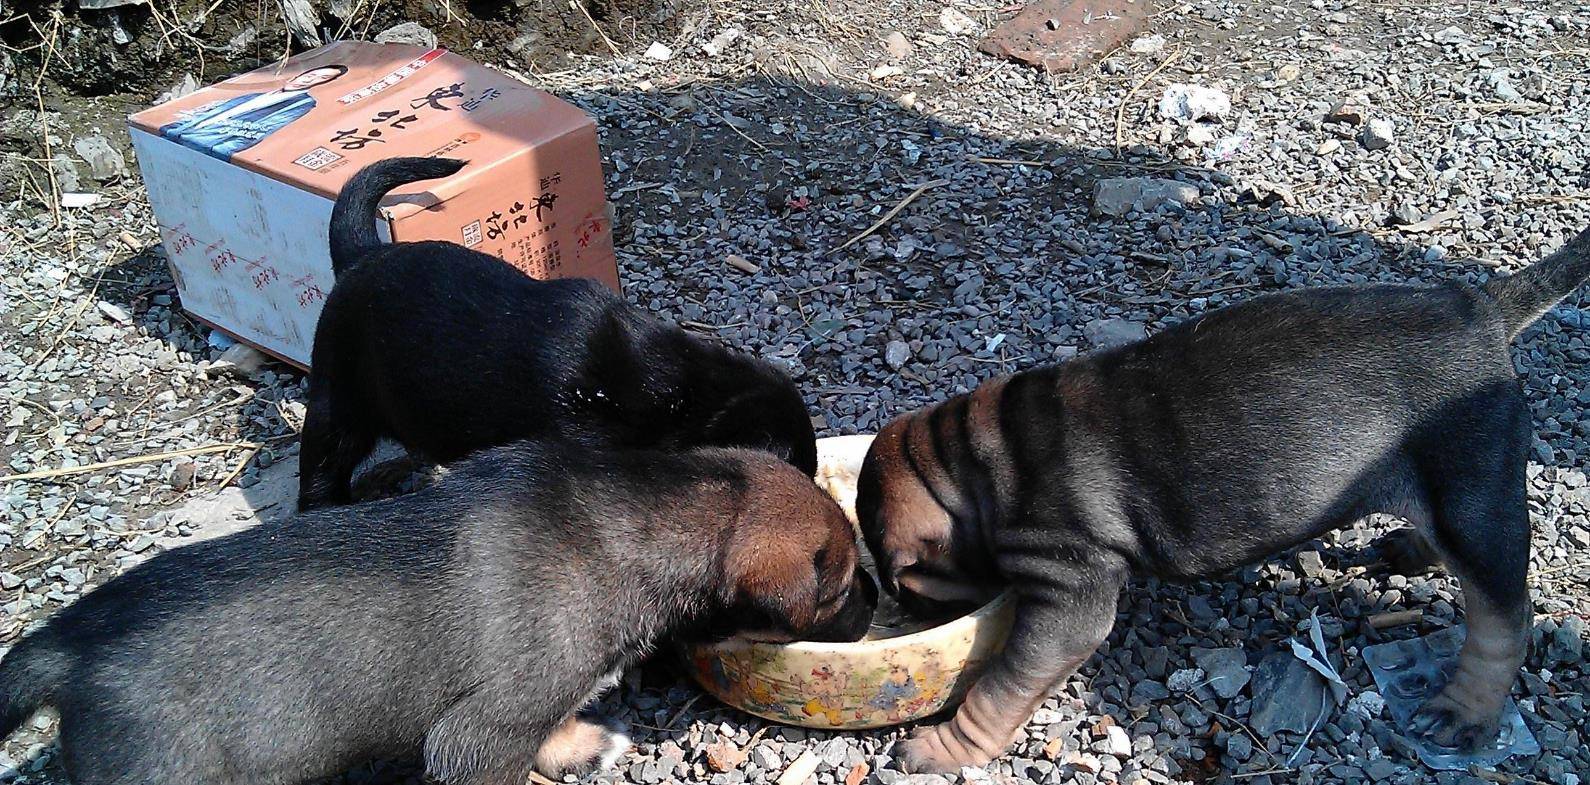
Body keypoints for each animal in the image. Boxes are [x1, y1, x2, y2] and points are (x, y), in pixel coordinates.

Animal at [0, 441, 877, 785]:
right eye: (836, 590)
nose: (874, 598)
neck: (634, 519)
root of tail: (66, 644)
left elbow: (551, 730)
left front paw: (577, 742)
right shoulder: (477, 734)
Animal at [864, 225, 1590, 772]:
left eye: (907, 585)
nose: (902, 612)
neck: (973, 457)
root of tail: (1482, 311)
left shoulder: (1066, 594)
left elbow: (1002, 684)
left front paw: (941, 747)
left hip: (1470, 488)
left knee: (1504, 616)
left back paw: (1465, 709)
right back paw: (1409, 548)